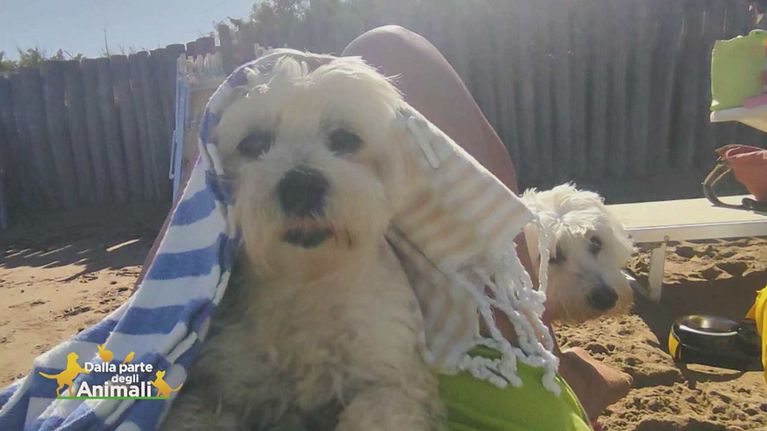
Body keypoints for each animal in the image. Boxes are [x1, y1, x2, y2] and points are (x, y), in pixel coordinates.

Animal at [162, 51, 442, 430]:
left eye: (345, 139)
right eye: (253, 143)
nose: (302, 185)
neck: (305, 283)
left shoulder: (393, 376)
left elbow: (376, 406)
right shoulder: (215, 385)